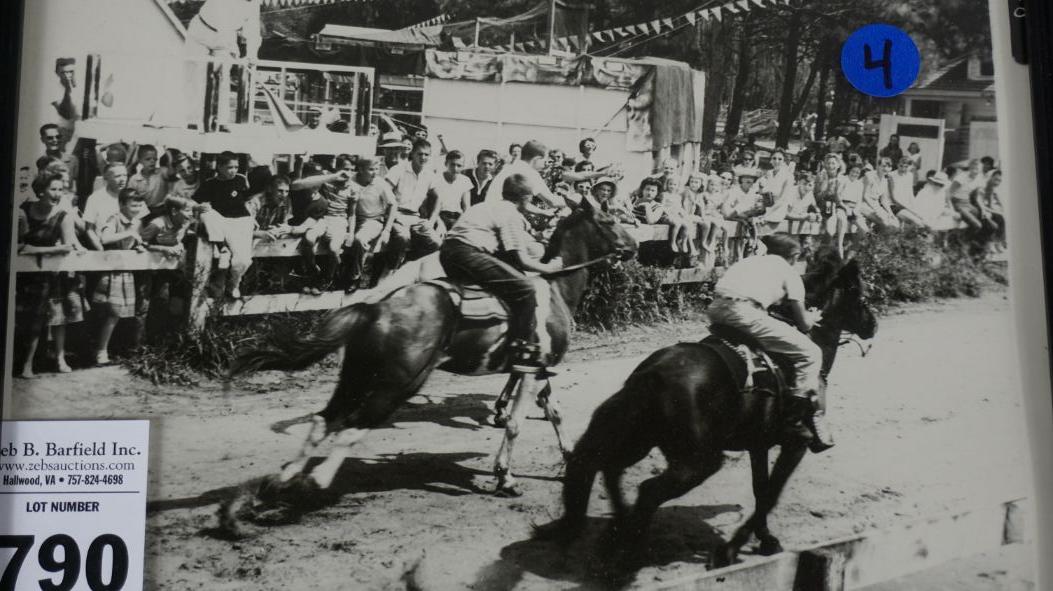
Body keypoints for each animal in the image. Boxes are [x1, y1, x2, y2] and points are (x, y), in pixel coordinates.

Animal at [227, 197, 636, 516]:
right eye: (609, 218)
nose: (634, 246)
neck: (554, 289)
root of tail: (376, 308)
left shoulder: (535, 369)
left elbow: (554, 412)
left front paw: (569, 456)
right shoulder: (533, 370)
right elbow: (517, 425)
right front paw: (505, 476)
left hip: (357, 375)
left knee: (324, 419)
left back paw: (281, 482)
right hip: (399, 381)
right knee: (352, 428)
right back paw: (313, 484)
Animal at [539, 252, 876, 573]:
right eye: (861, 298)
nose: (873, 325)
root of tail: (651, 374)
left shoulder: (759, 443)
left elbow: (760, 489)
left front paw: (764, 538)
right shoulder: (796, 443)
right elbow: (770, 493)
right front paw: (731, 550)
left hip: (640, 440)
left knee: (609, 469)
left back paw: (618, 530)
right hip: (700, 460)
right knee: (648, 490)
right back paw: (629, 553)